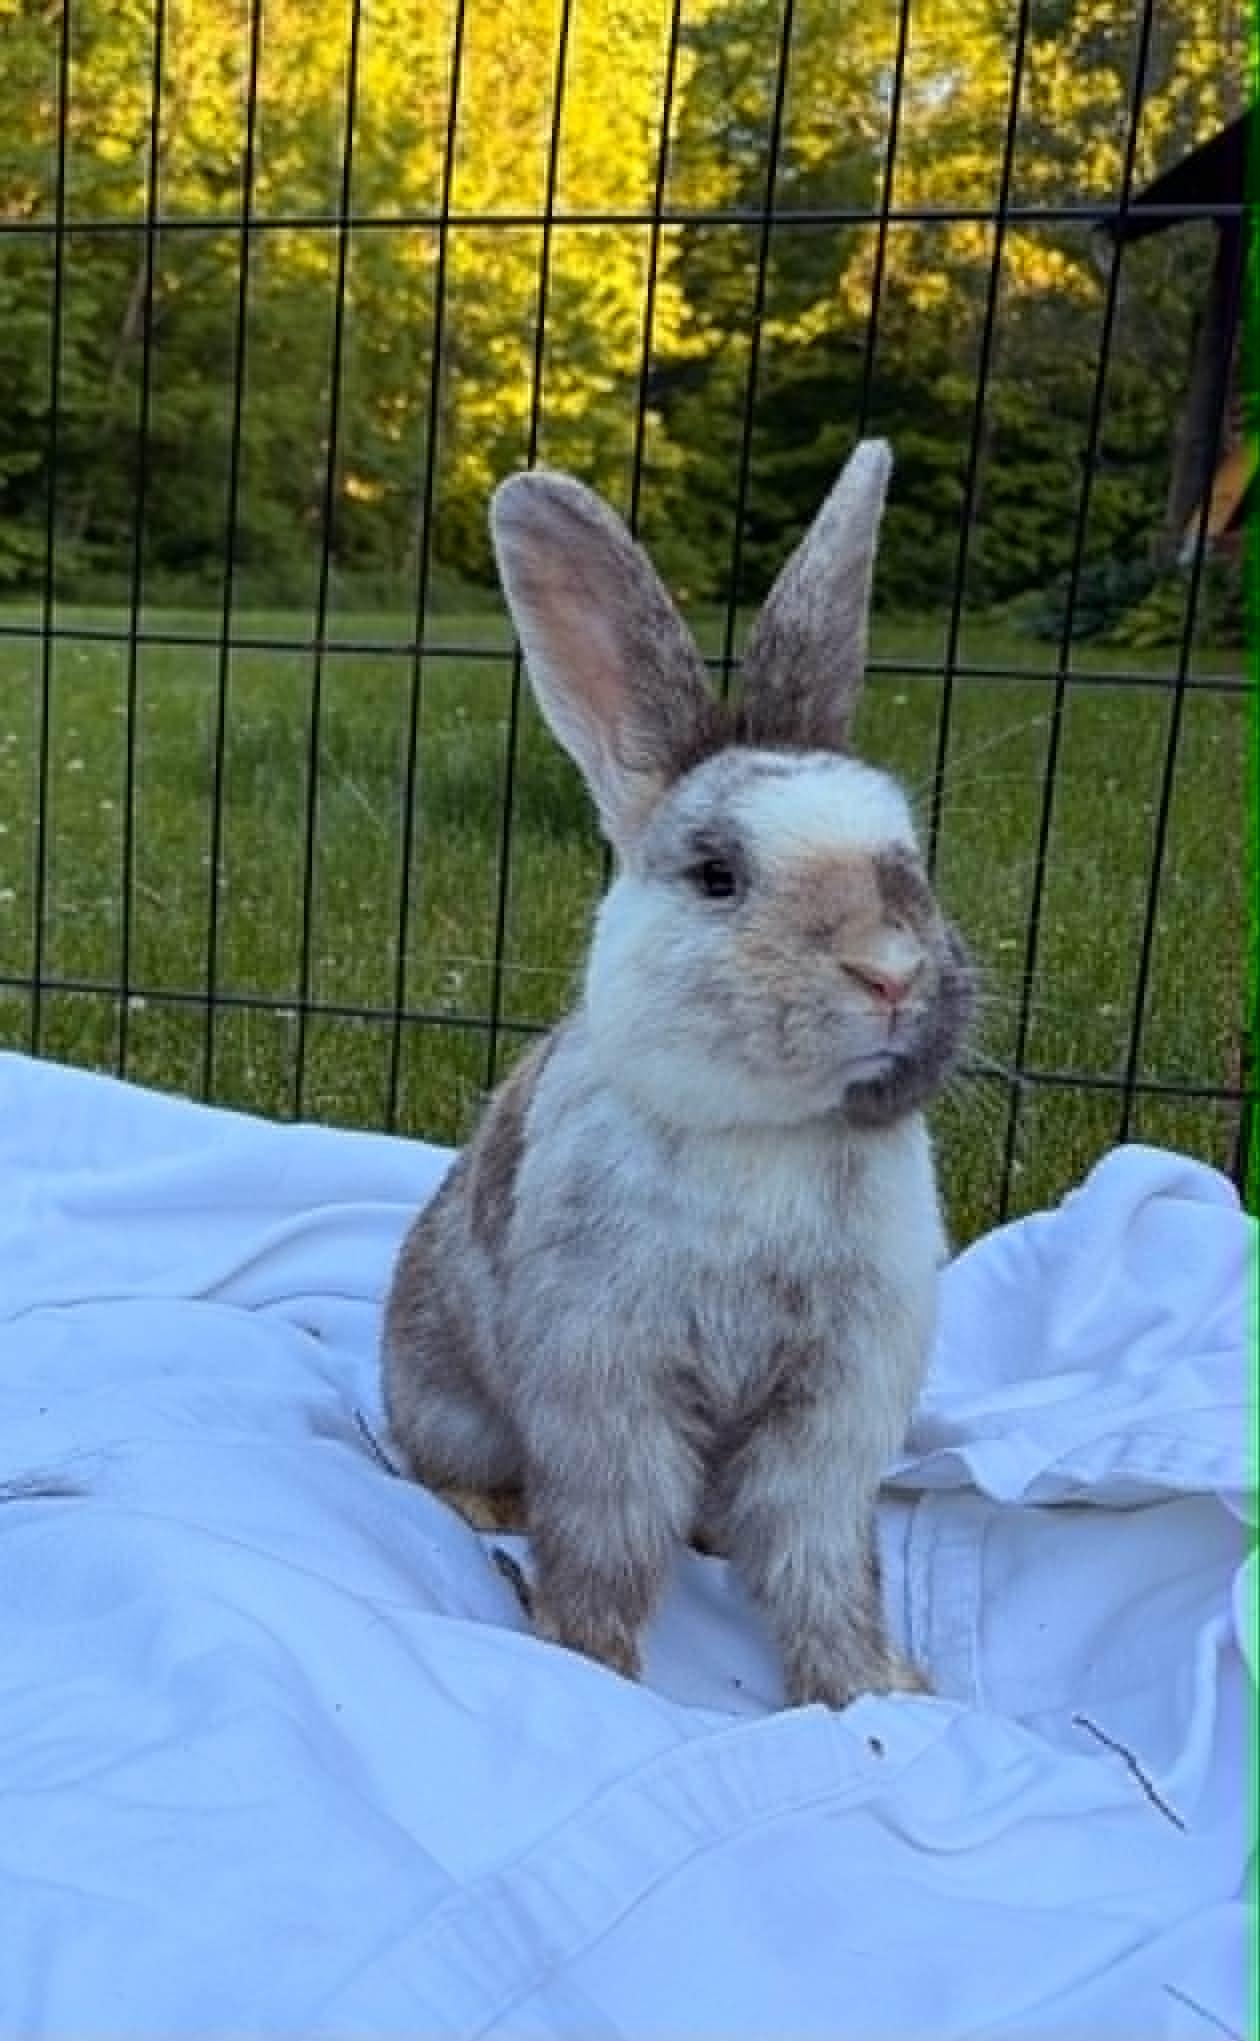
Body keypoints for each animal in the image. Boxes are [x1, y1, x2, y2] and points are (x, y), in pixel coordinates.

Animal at [382, 440, 974, 1710]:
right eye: (715, 876)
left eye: (912, 858)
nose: (891, 972)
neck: (770, 1134)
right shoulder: (607, 1384)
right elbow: (607, 1534)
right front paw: (591, 1665)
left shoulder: (838, 1404)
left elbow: (819, 1553)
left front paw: (875, 1692)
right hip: (447, 1394)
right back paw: (480, 1505)